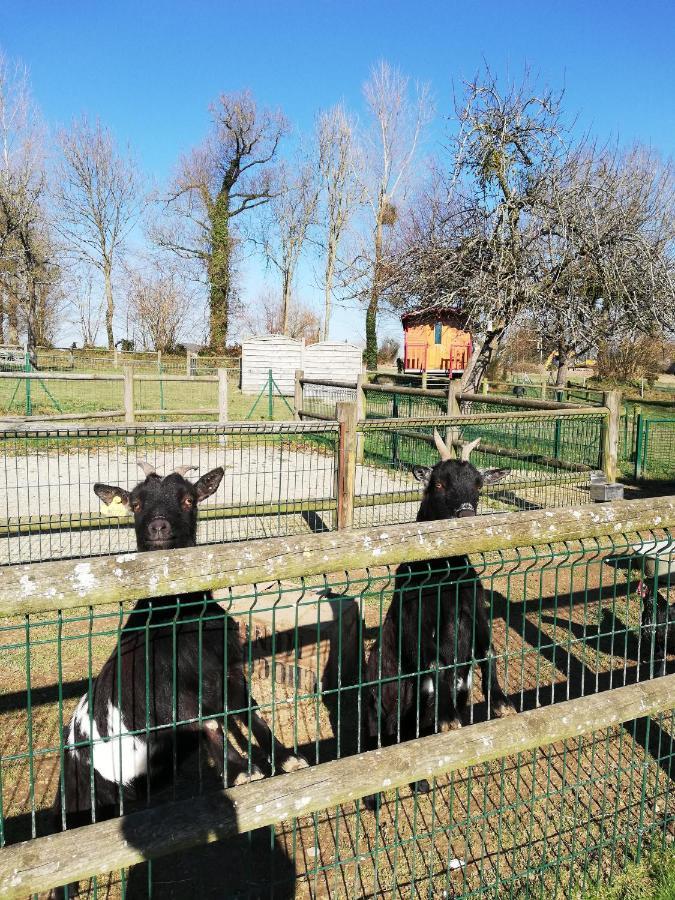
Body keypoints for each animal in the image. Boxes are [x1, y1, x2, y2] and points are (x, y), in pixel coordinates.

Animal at [51, 464, 304, 892]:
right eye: (135, 503)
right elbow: (207, 722)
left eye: (188, 498)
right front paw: (240, 769)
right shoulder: (160, 699)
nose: (158, 526)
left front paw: (285, 758)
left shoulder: (226, 671)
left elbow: (251, 712)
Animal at [364, 432, 516, 804]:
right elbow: (435, 665)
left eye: (479, 484)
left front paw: (501, 703)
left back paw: (421, 782)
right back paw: (375, 797)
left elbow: (488, 652)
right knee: (376, 736)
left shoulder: (475, 614)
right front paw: (447, 717)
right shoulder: (417, 623)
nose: (466, 518)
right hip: (378, 694)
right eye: (438, 483)